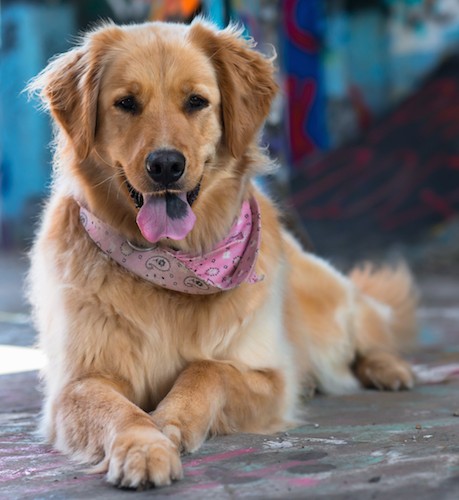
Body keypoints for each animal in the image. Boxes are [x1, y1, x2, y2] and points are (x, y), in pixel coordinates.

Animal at [27, 18, 418, 488]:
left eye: (196, 101)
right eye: (126, 103)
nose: (165, 165)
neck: (171, 264)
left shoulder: (271, 378)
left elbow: (208, 369)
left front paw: (170, 422)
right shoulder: (78, 383)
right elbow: (118, 410)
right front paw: (144, 445)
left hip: (331, 305)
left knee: (369, 330)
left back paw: (390, 369)